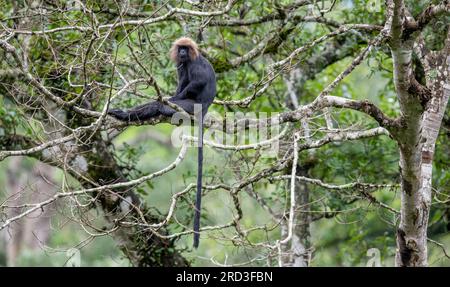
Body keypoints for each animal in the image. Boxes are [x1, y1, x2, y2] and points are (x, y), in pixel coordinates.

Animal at [107, 37, 216, 250]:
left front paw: (171, 98)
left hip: (189, 107)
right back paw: (123, 114)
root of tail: (204, 110)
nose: (182, 53)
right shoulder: (181, 66)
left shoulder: (193, 63)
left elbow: (196, 82)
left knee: (161, 106)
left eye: (186, 49)